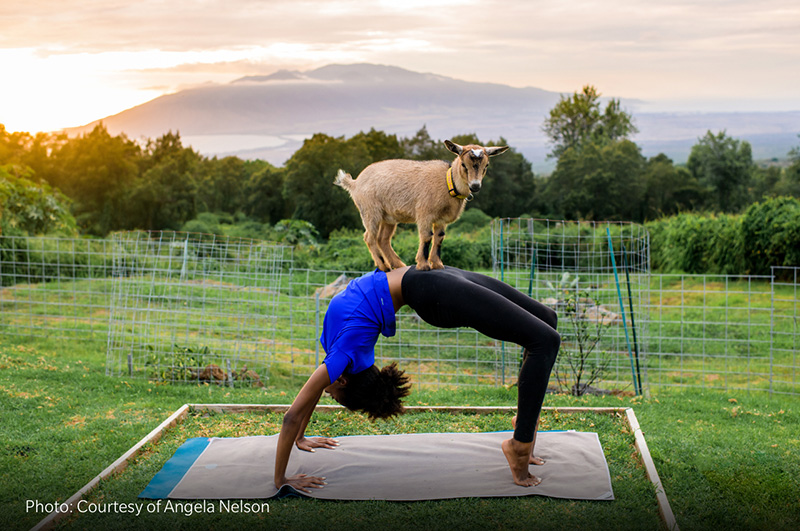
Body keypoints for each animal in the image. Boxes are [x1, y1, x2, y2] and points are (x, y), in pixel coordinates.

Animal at [334, 139, 510, 272]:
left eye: (486, 166)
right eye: (463, 165)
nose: (475, 186)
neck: (448, 182)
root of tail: (354, 183)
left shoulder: (441, 219)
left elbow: (439, 238)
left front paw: (438, 264)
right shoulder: (425, 213)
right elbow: (426, 236)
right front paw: (423, 265)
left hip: (388, 217)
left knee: (383, 239)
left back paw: (398, 265)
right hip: (370, 210)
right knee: (369, 237)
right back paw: (384, 266)